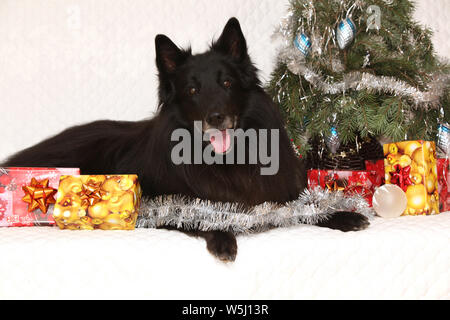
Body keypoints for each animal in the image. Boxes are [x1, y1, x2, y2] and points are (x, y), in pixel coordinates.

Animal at [1, 17, 368, 262]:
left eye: (226, 83)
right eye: (192, 90)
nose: (215, 118)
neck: (228, 161)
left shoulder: (276, 194)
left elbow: (306, 206)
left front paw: (343, 215)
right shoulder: (161, 202)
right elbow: (197, 213)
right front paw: (222, 237)